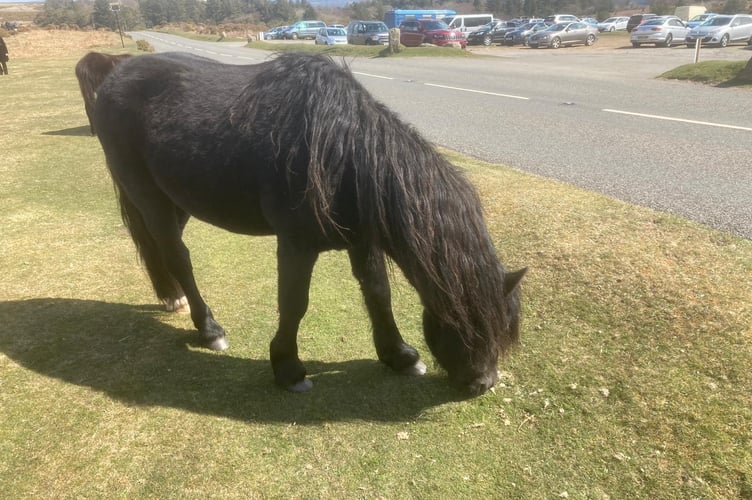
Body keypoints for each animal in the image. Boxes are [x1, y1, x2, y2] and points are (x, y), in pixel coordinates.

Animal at [94, 51, 526, 396]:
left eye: (503, 326)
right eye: (469, 324)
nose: (482, 384)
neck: (342, 150)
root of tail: (115, 75)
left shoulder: (363, 240)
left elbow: (378, 293)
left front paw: (399, 355)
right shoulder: (297, 245)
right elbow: (294, 303)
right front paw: (288, 369)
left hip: (177, 200)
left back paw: (171, 297)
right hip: (150, 197)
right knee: (177, 256)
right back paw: (209, 329)